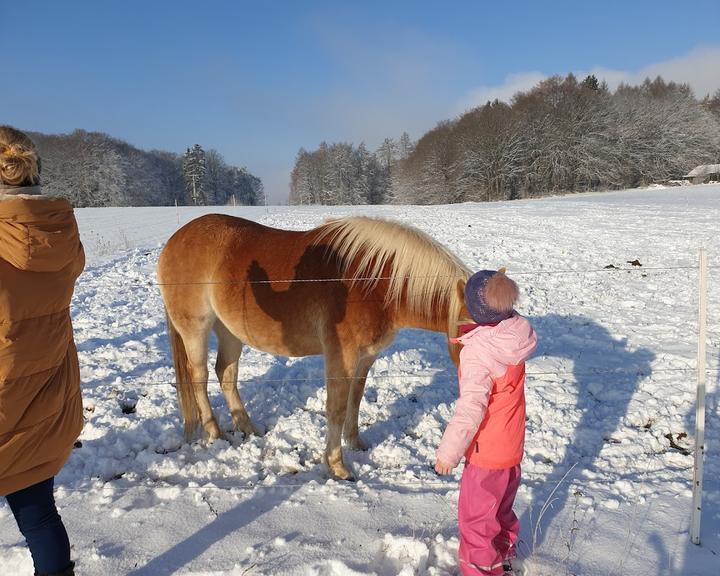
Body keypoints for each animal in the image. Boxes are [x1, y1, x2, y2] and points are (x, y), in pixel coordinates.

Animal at [156, 214, 472, 480]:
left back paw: (248, 428)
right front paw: (338, 466)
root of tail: (174, 240)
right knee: (199, 376)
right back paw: (215, 432)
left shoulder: (366, 357)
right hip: (195, 330)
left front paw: (356, 442)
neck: (372, 282)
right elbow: (336, 408)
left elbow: (355, 401)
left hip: (230, 332)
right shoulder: (341, 355)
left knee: (226, 374)